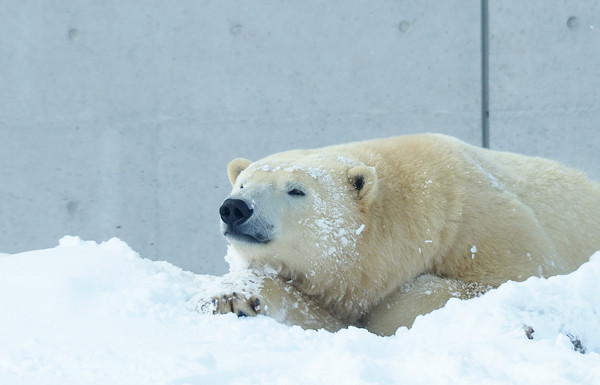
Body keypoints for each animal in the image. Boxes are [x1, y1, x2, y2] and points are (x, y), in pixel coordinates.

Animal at [212, 134, 600, 334]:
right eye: (243, 183)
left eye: (296, 190)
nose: (235, 208)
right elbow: (313, 311)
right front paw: (232, 297)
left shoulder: (485, 226)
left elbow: (510, 280)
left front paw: (385, 315)